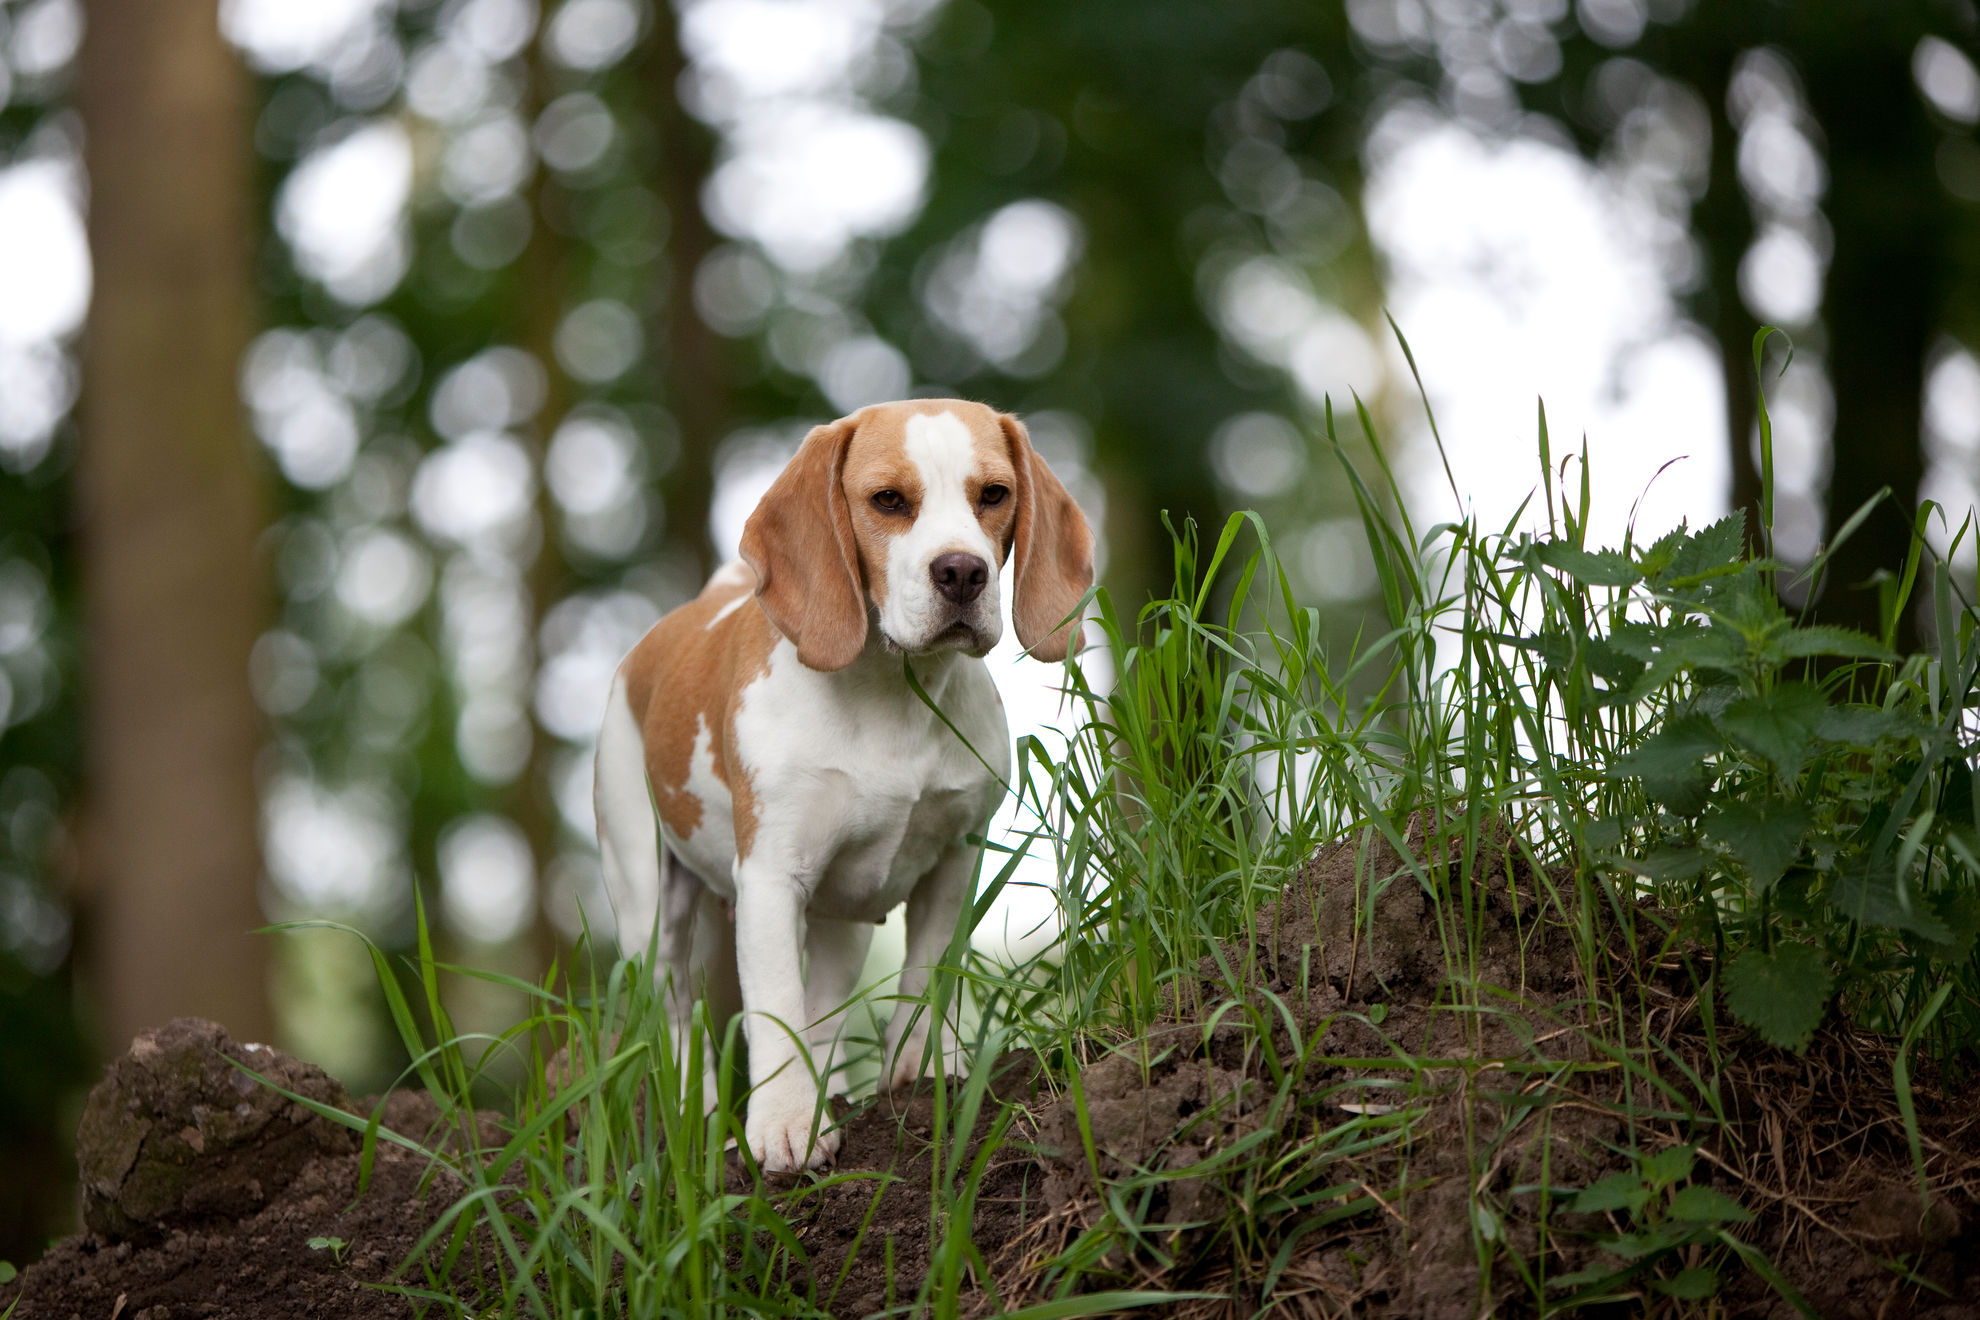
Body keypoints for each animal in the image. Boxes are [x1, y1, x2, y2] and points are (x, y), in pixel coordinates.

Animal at [590, 397, 1100, 1171]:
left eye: (994, 494)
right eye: (887, 500)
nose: (963, 572)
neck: (891, 696)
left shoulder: (954, 861)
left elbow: (926, 974)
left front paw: (920, 1073)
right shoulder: (771, 878)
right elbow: (774, 1006)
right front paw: (785, 1126)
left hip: (843, 918)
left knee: (823, 1007)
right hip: (647, 902)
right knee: (676, 1017)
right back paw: (697, 1121)